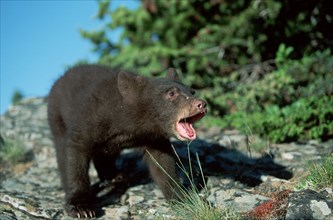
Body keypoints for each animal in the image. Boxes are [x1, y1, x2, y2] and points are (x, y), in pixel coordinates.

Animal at [47, 64, 205, 217]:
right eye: (171, 93)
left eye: (192, 92)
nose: (201, 104)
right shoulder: (92, 117)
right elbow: (75, 152)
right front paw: (81, 207)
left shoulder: (153, 137)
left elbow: (162, 162)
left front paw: (182, 197)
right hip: (57, 117)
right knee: (62, 149)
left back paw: (114, 175)